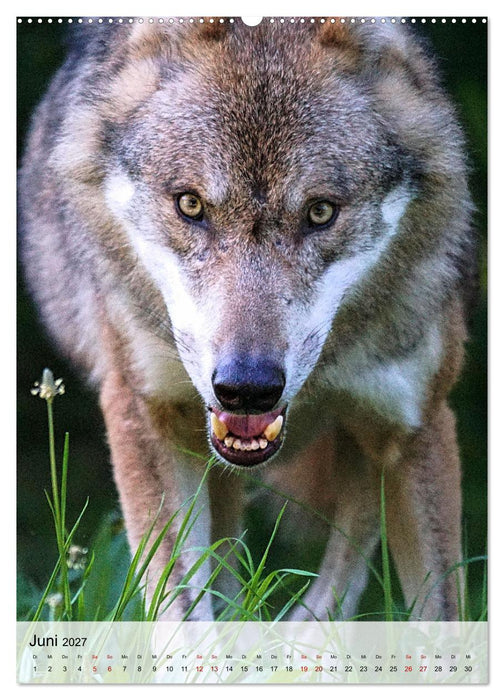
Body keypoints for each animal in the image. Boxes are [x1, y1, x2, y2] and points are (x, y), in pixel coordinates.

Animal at [19, 18, 475, 621]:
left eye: (320, 212)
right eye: (190, 205)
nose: (247, 388)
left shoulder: (417, 423)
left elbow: (440, 619)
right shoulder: (143, 412)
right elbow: (185, 617)